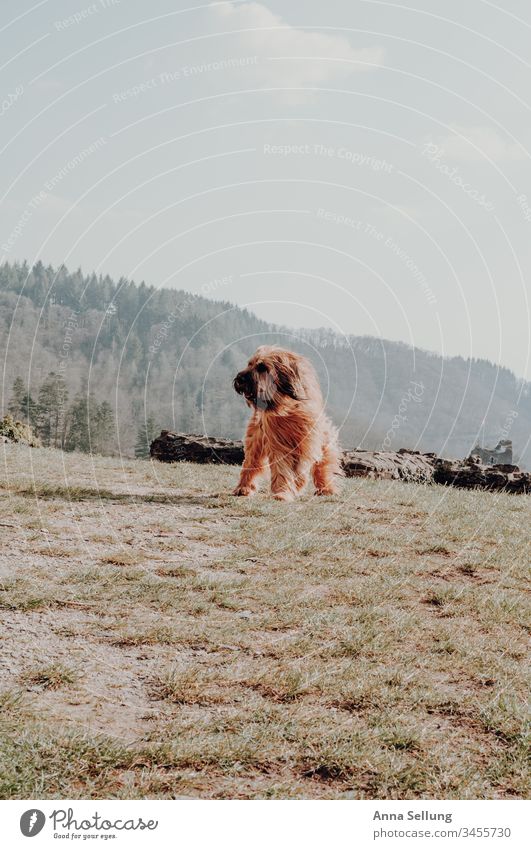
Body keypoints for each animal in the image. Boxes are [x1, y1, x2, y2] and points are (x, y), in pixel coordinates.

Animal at [234, 348, 344, 500]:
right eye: (249, 364)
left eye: (262, 367)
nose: (239, 379)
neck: (288, 408)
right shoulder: (278, 442)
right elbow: (282, 468)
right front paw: (282, 492)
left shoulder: (314, 438)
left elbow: (321, 462)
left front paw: (325, 487)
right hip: (256, 439)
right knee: (251, 461)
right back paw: (243, 487)